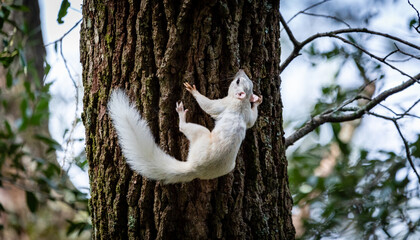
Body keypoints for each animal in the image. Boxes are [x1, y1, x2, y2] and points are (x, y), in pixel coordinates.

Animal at [106, 69, 260, 184]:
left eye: (237, 81)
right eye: (247, 82)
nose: (240, 70)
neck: (241, 102)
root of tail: (194, 168)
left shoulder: (223, 104)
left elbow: (208, 105)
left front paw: (193, 91)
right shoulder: (246, 115)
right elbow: (252, 121)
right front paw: (258, 102)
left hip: (201, 133)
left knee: (183, 128)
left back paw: (181, 116)